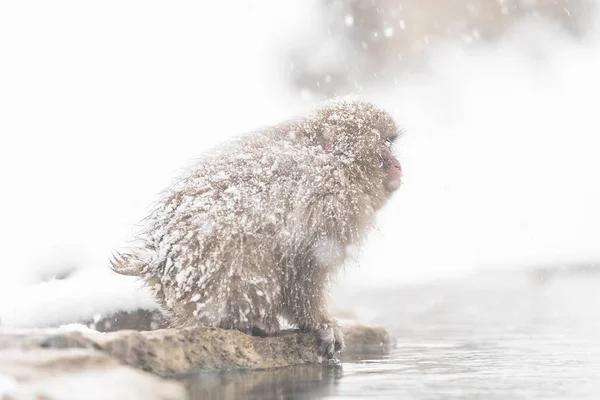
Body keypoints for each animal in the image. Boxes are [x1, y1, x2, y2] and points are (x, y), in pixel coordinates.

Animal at [111, 97, 404, 360]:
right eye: (383, 144)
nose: (398, 165)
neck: (337, 166)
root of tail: (157, 264)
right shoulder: (328, 205)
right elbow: (304, 269)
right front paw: (320, 323)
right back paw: (255, 323)